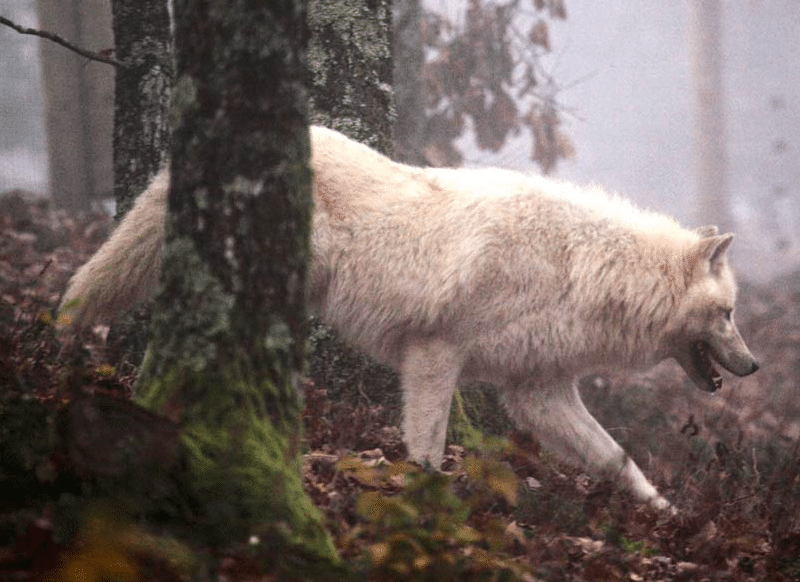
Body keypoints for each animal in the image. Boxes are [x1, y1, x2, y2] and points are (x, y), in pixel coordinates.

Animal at [61, 126, 756, 512]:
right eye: (726, 314)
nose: (754, 365)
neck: (578, 269)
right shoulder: (434, 352)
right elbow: (426, 447)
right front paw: (426, 501)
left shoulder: (537, 391)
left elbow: (616, 459)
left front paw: (667, 515)